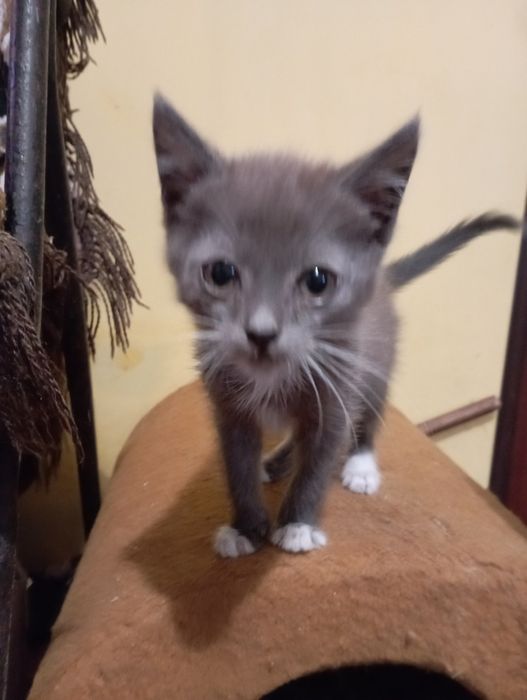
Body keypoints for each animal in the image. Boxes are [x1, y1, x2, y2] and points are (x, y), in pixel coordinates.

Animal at [152, 94, 517, 557]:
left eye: (318, 280)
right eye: (220, 273)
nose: (261, 333)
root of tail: (384, 277)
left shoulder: (336, 390)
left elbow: (321, 458)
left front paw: (297, 524)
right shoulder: (227, 406)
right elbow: (237, 464)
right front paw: (245, 526)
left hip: (376, 366)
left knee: (369, 415)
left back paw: (360, 464)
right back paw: (278, 461)